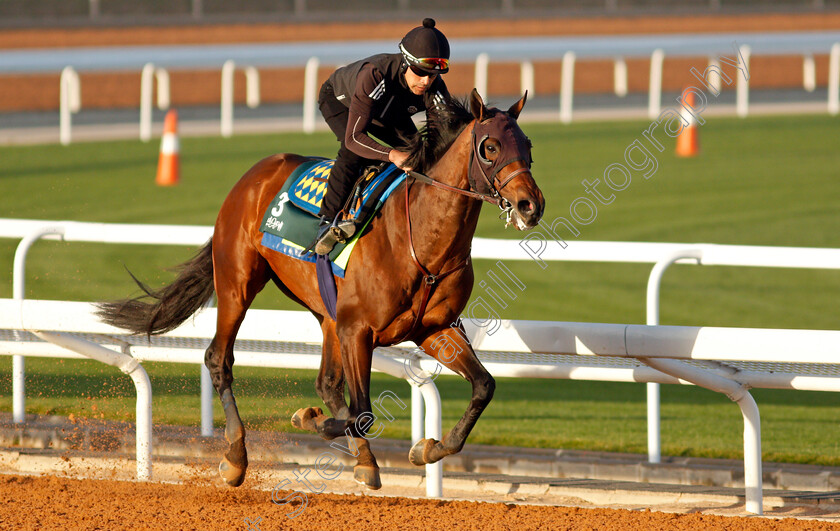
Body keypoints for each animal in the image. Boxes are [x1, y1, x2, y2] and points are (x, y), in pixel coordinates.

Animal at [97, 88, 544, 490]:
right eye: (489, 146)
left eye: (527, 144)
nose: (531, 205)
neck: (421, 242)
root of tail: (254, 174)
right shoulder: (357, 330)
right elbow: (362, 413)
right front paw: (310, 419)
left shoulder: (434, 329)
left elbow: (483, 386)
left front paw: (427, 448)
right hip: (238, 283)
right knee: (218, 360)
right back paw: (236, 457)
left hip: (326, 313)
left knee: (327, 383)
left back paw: (362, 459)